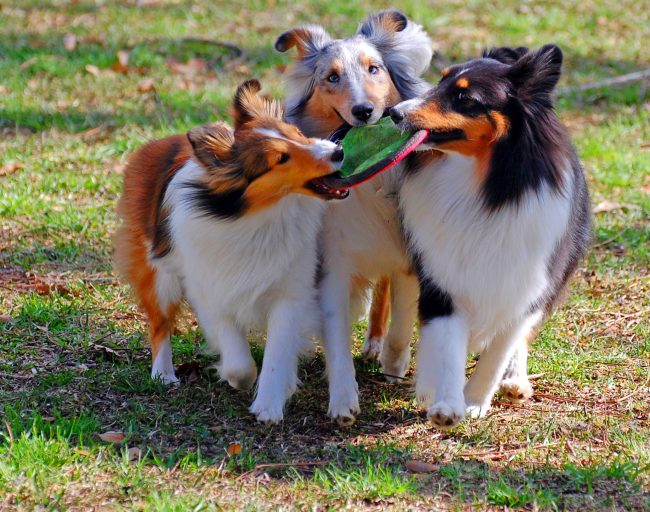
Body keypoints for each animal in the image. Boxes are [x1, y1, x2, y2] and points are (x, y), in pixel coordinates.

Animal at [115, 80, 350, 422]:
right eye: (281, 158)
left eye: (296, 132)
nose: (338, 151)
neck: (258, 216)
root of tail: (157, 144)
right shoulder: (211, 289)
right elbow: (239, 359)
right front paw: (237, 377)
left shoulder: (290, 292)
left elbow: (278, 351)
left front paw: (269, 404)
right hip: (159, 275)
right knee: (160, 325)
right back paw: (164, 373)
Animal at [276, 11, 432, 420]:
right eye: (332, 77)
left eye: (374, 69)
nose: (363, 111)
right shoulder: (334, 260)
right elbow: (336, 332)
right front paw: (343, 400)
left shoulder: (409, 256)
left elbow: (403, 321)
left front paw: (395, 364)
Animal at [388, 45, 588, 428]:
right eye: (440, 80)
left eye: (464, 97)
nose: (393, 113)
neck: (481, 182)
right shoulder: (442, 277)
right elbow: (447, 342)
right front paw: (446, 403)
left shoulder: (527, 284)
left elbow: (499, 350)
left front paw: (474, 401)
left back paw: (516, 381)